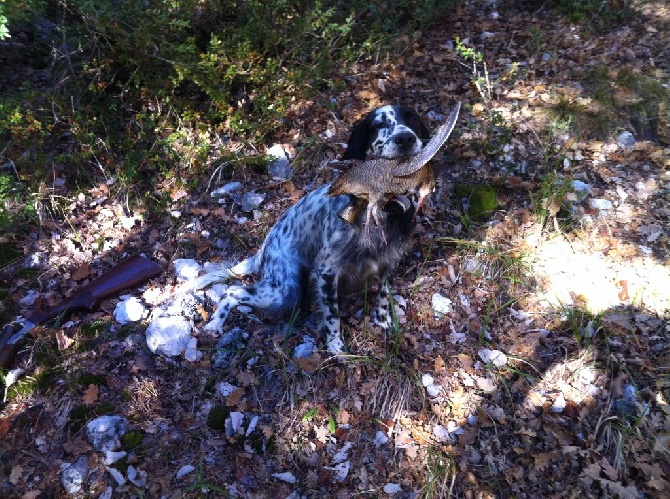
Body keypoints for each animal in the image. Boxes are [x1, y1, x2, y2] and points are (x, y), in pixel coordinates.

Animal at [203, 106, 430, 354]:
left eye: (413, 120)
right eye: (379, 124)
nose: (405, 138)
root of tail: (263, 249)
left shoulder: (389, 261)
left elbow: (382, 297)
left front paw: (382, 322)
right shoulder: (326, 270)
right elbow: (332, 315)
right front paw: (336, 347)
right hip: (284, 292)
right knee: (232, 291)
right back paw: (215, 324)